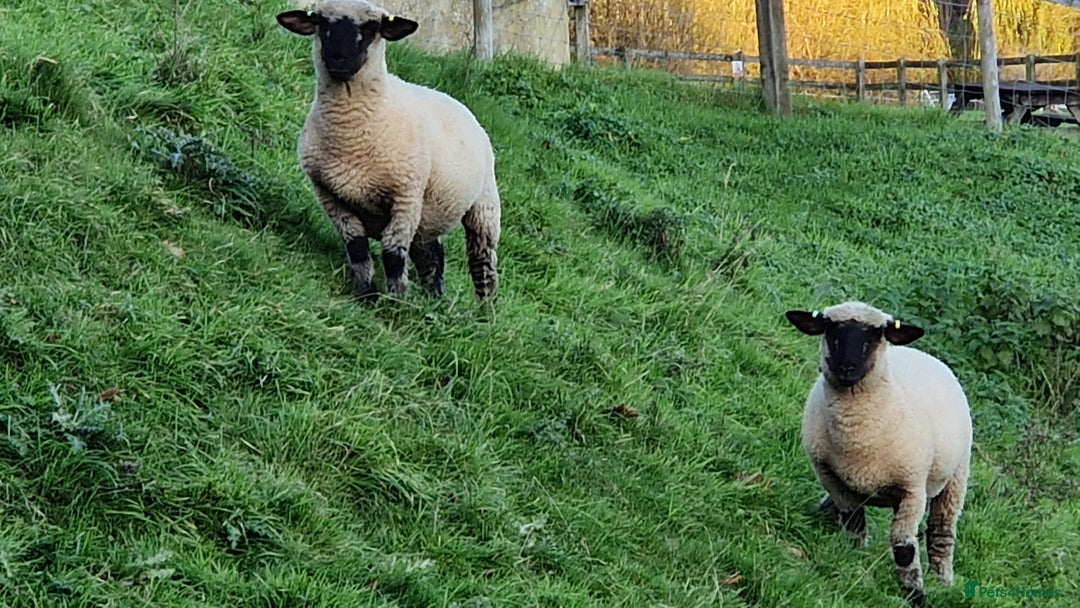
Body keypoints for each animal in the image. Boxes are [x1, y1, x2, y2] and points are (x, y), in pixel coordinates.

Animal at [276, 0, 501, 303]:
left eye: (373, 27)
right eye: (321, 23)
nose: (338, 59)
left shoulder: (405, 196)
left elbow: (393, 254)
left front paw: (396, 302)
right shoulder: (329, 195)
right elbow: (357, 248)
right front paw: (367, 295)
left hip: (483, 206)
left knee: (482, 263)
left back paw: (484, 311)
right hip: (426, 214)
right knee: (432, 255)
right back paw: (434, 301)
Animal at [785, 301, 972, 606]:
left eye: (875, 335)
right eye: (830, 329)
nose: (846, 367)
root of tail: (922, 352)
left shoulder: (912, 489)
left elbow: (904, 549)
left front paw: (916, 594)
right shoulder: (832, 479)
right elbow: (854, 524)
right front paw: (855, 557)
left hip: (956, 477)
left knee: (941, 533)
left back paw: (943, 581)